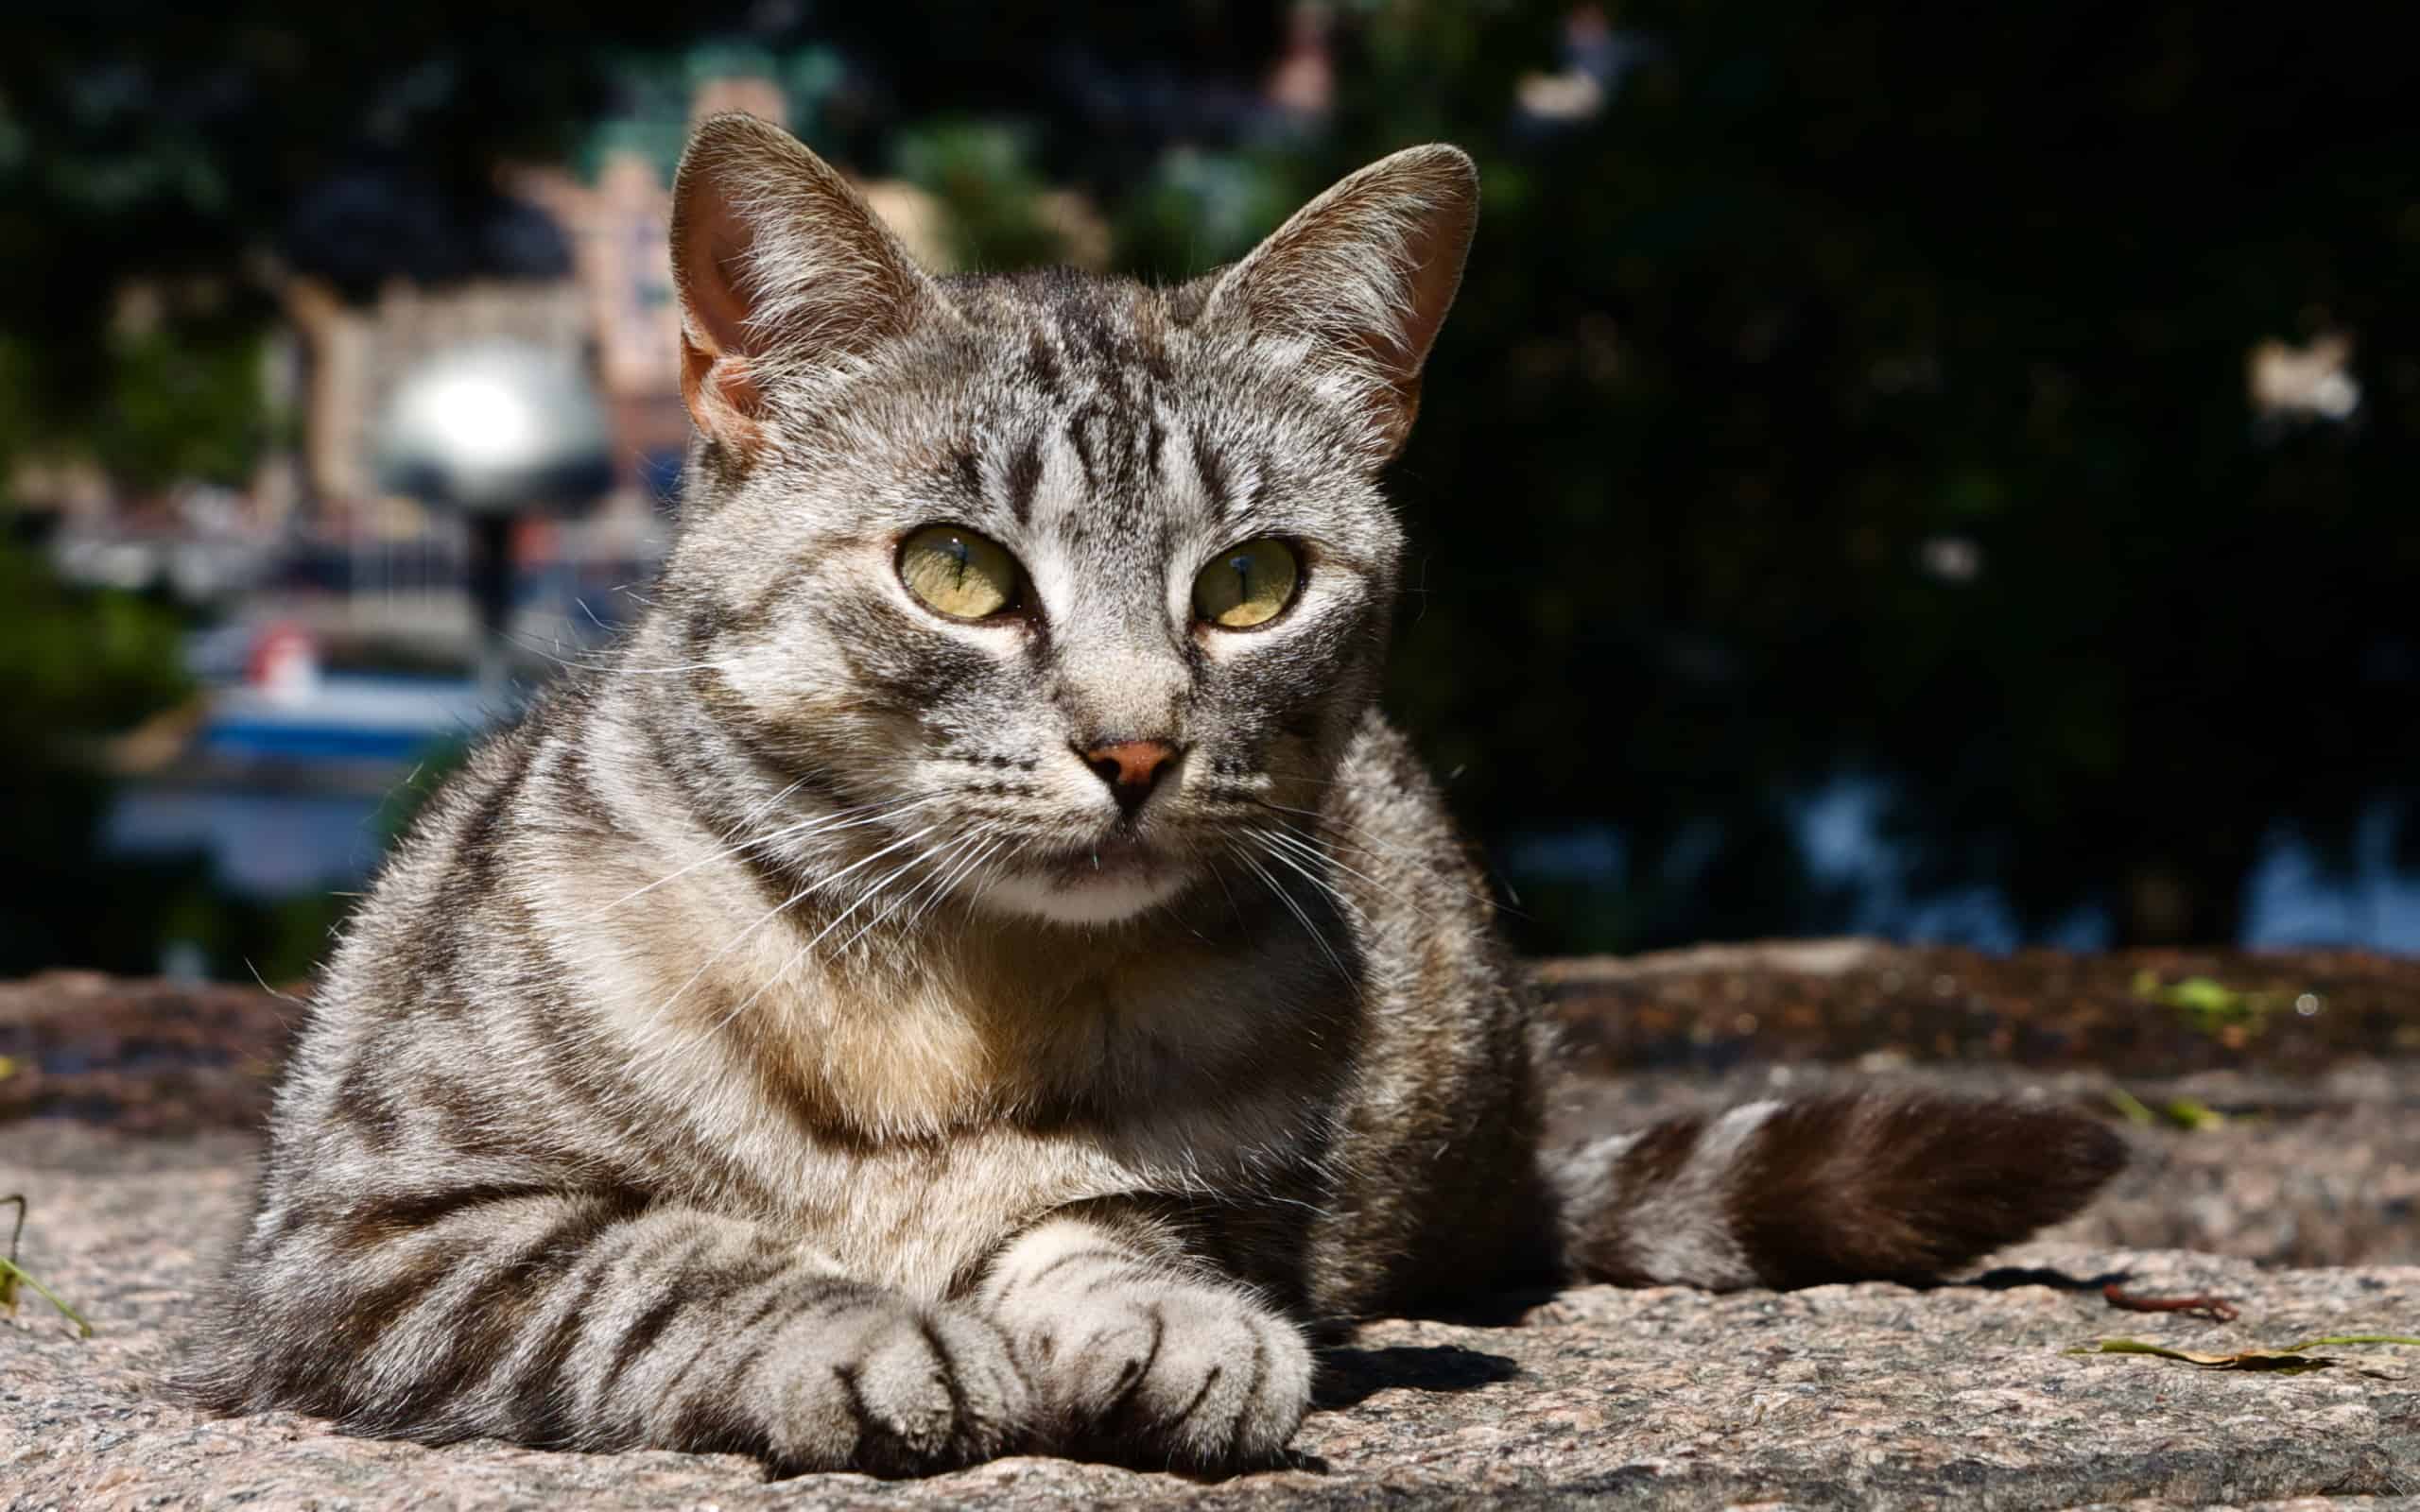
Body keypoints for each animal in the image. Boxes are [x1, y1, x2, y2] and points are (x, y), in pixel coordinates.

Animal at [183, 114, 2119, 1470]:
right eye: (956, 572)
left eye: (1252, 584)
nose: (1133, 746)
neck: (948, 1002)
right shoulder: (377, 1237)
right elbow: (666, 1263)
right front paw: (856, 1328)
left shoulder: (1237, 1192)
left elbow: (1117, 1227)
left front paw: (1162, 1320)